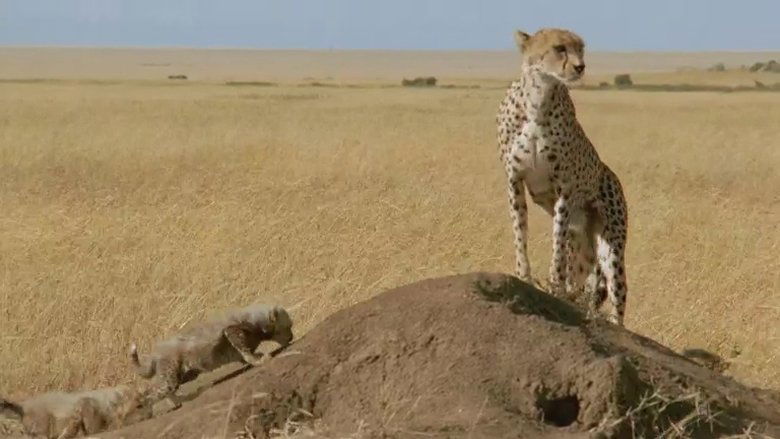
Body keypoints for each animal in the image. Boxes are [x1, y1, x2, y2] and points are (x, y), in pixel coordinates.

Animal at [496, 28, 629, 325]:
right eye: (559, 48)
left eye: (581, 49)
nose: (580, 66)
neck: (538, 98)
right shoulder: (514, 180)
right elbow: (519, 232)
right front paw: (524, 276)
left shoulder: (564, 189)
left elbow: (556, 241)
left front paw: (554, 284)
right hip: (582, 247)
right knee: (584, 281)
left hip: (610, 246)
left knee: (616, 292)